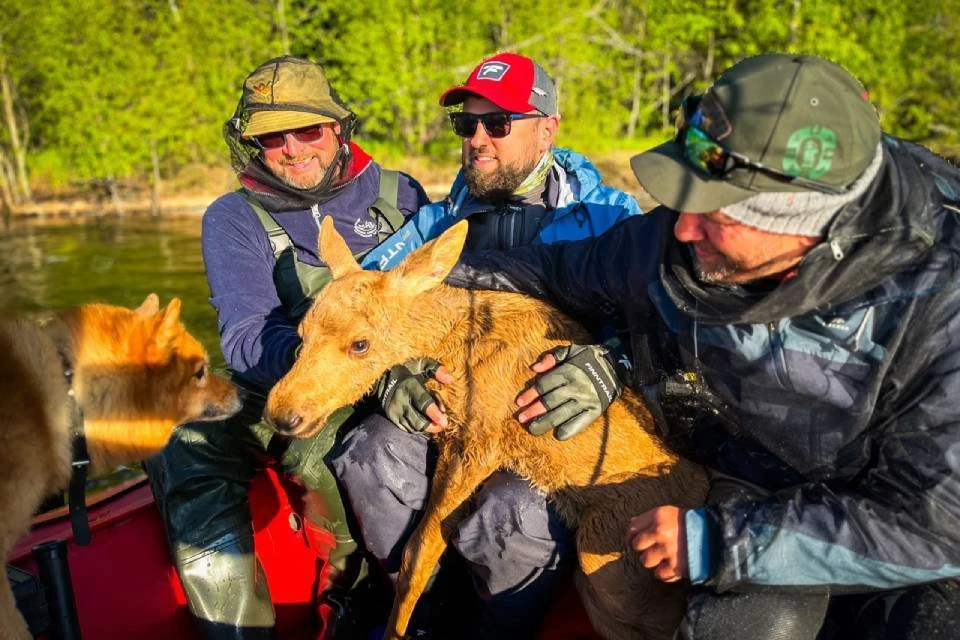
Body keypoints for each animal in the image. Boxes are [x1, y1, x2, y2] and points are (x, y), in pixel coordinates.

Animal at [266, 218, 708, 636]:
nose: (282, 412)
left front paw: (397, 630)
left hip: (604, 549)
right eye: (302, 333)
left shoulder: (480, 439)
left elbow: (419, 550)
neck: (452, 347)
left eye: (361, 344)